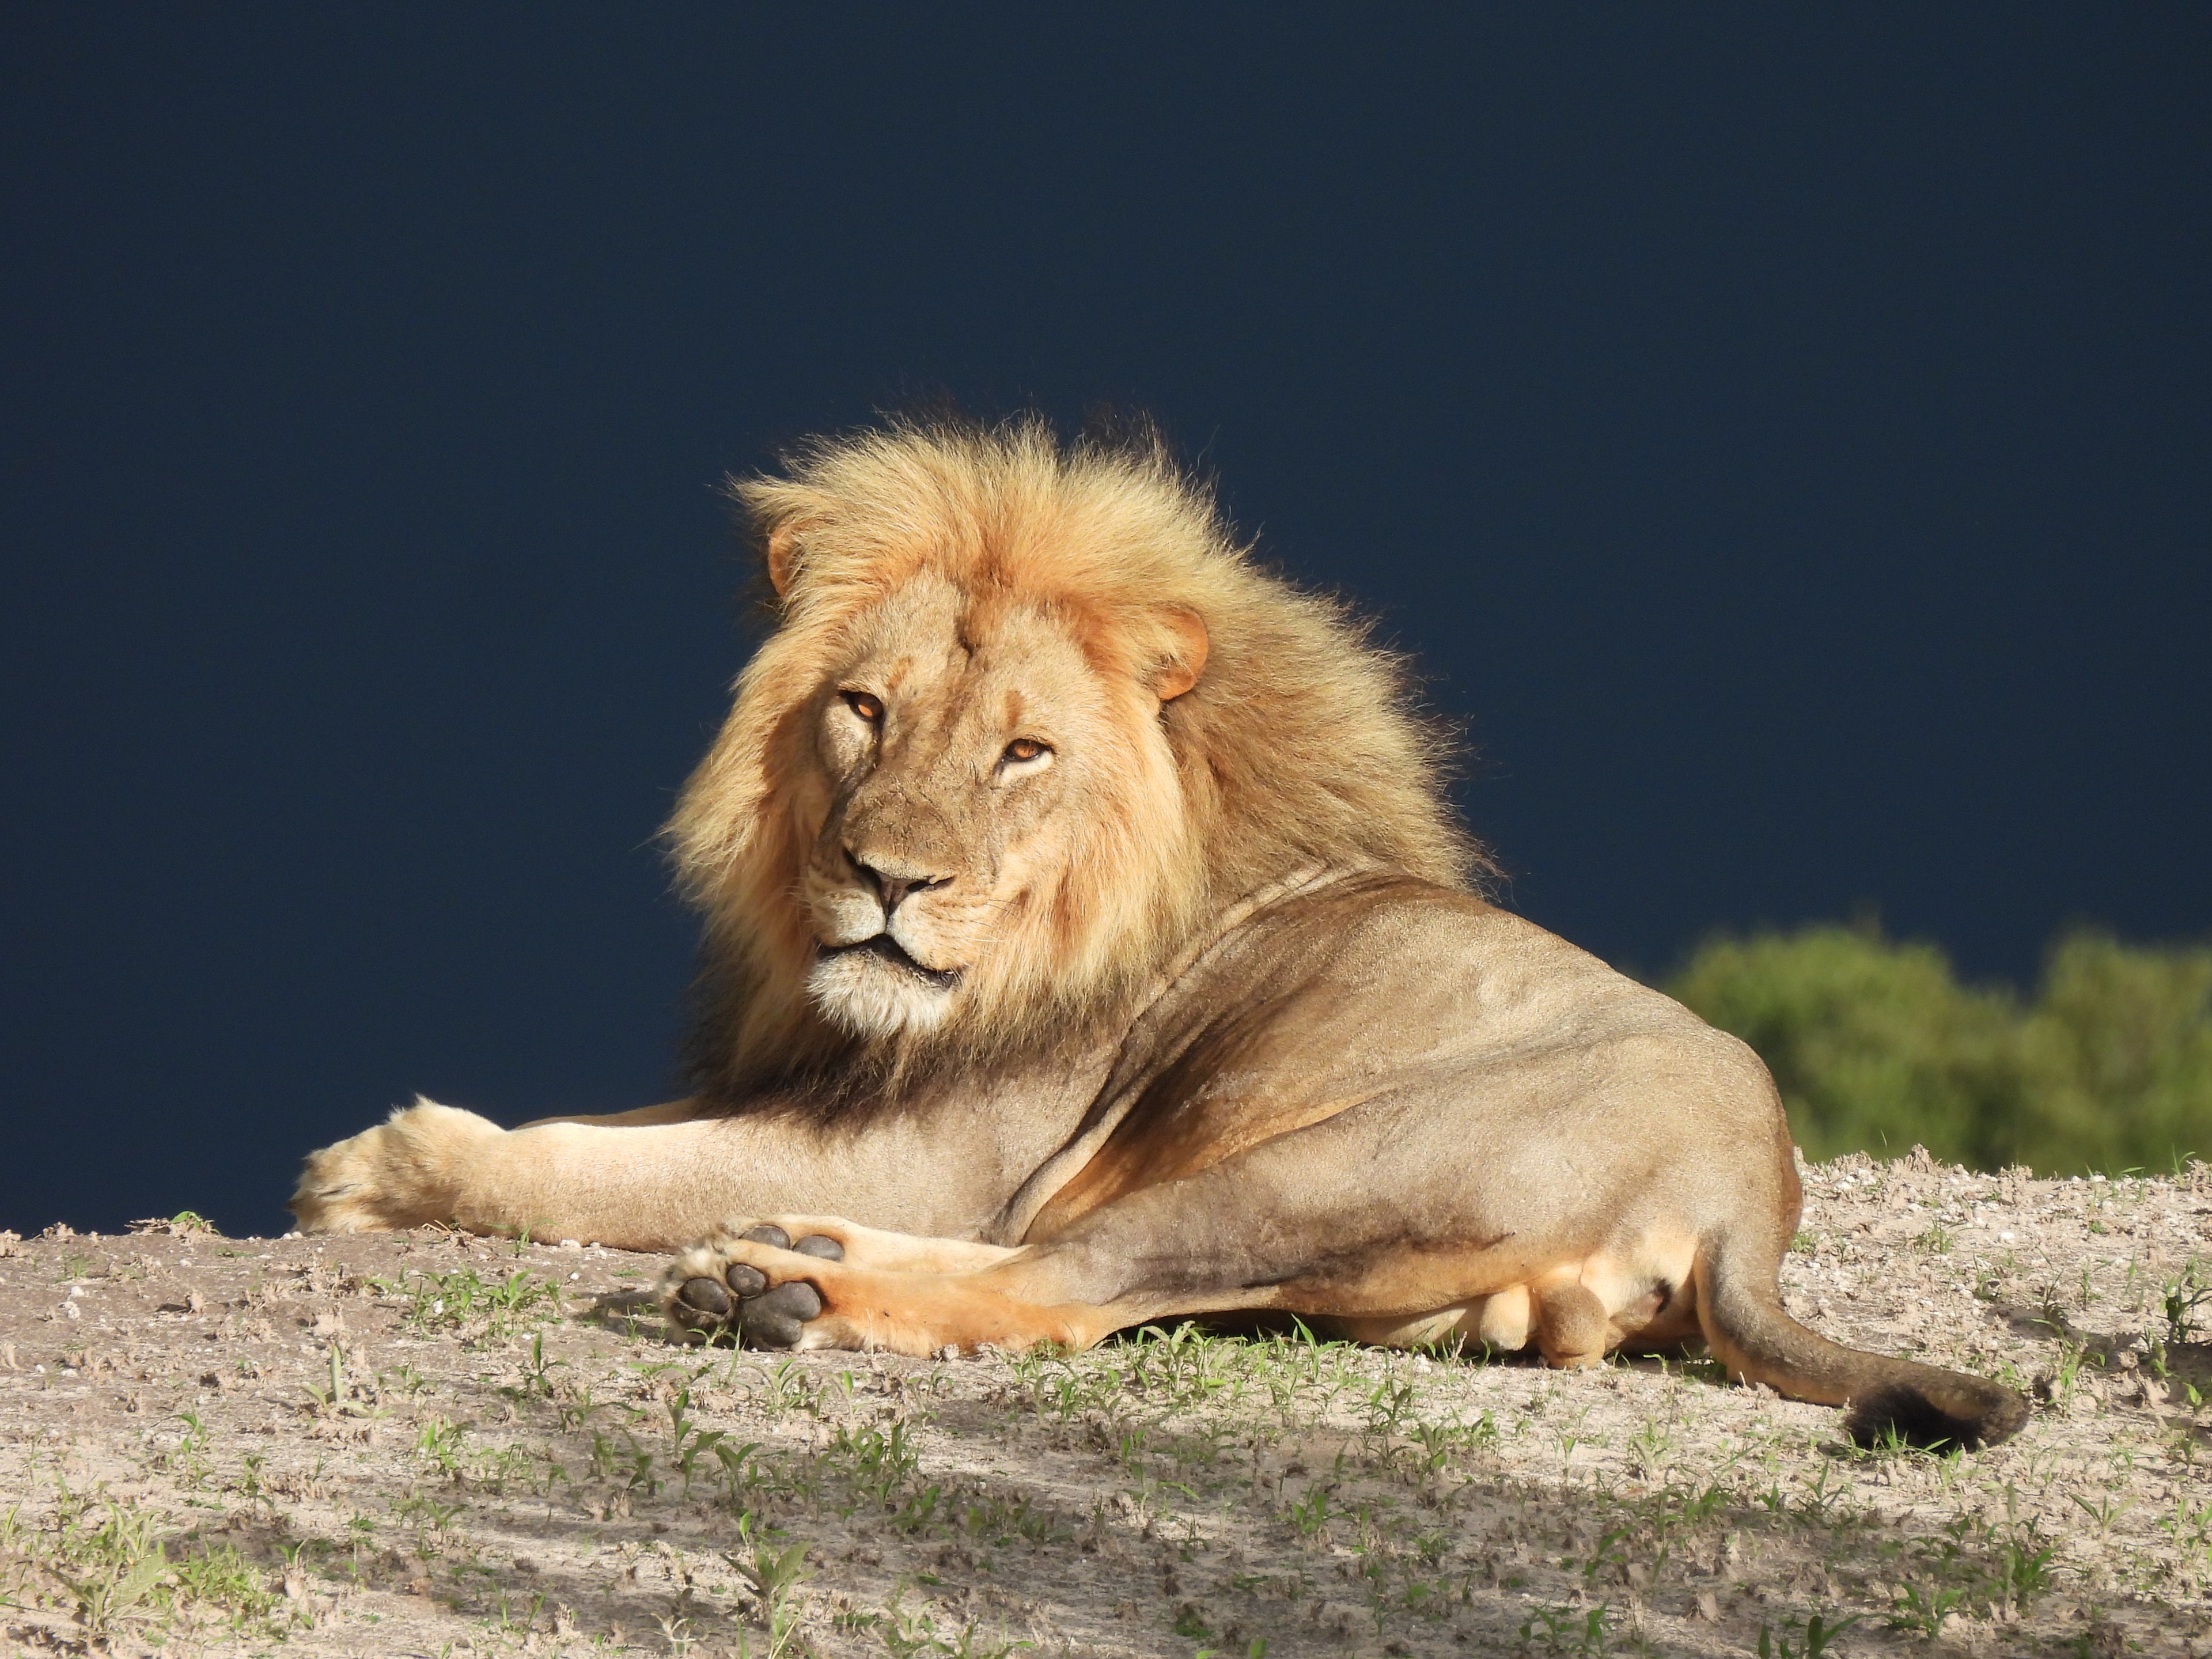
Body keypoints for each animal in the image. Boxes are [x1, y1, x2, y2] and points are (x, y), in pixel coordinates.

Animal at [292, 417, 2027, 1449]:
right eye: (864, 710)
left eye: (1021, 751)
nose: (886, 879)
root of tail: (1748, 1199)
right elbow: (625, 1127)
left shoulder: (935, 1149)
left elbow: (600, 1166)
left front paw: (383, 1170)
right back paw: (791, 1260)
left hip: (1315, 1166)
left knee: (1058, 1287)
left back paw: (779, 1290)